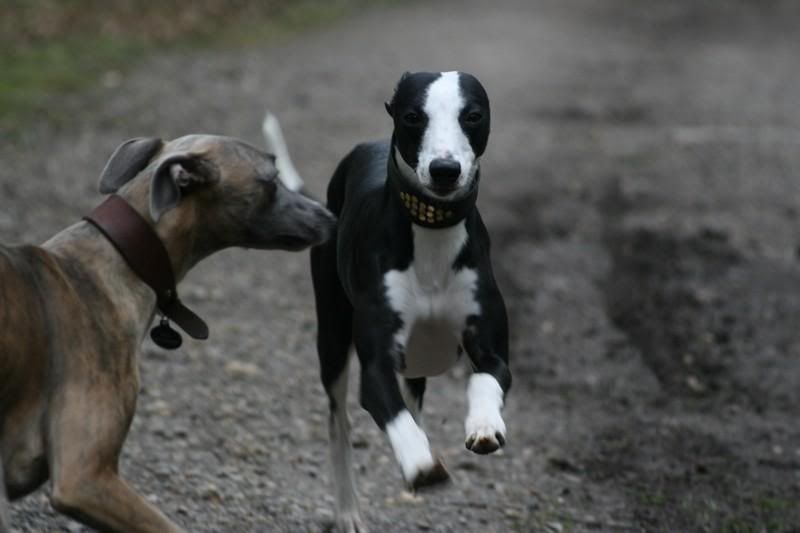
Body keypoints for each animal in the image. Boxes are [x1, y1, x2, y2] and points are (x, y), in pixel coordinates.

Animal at [306, 71, 512, 532]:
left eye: (473, 115)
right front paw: (421, 463)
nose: (444, 170)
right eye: (413, 116)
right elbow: (389, 411)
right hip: (332, 336)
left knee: (413, 399)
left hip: (414, 363)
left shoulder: (492, 348)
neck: (431, 232)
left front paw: (484, 425)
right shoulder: (376, 363)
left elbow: (485, 377)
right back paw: (348, 510)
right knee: (339, 423)